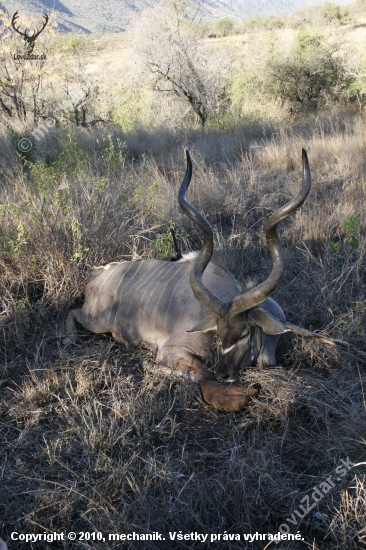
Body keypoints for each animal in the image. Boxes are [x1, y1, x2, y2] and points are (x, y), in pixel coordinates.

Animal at [65, 149, 360, 412]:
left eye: (244, 333)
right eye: (218, 332)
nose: (224, 374)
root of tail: (95, 273)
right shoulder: (173, 351)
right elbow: (200, 376)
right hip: (97, 322)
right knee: (72, 312)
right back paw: (70, 339)